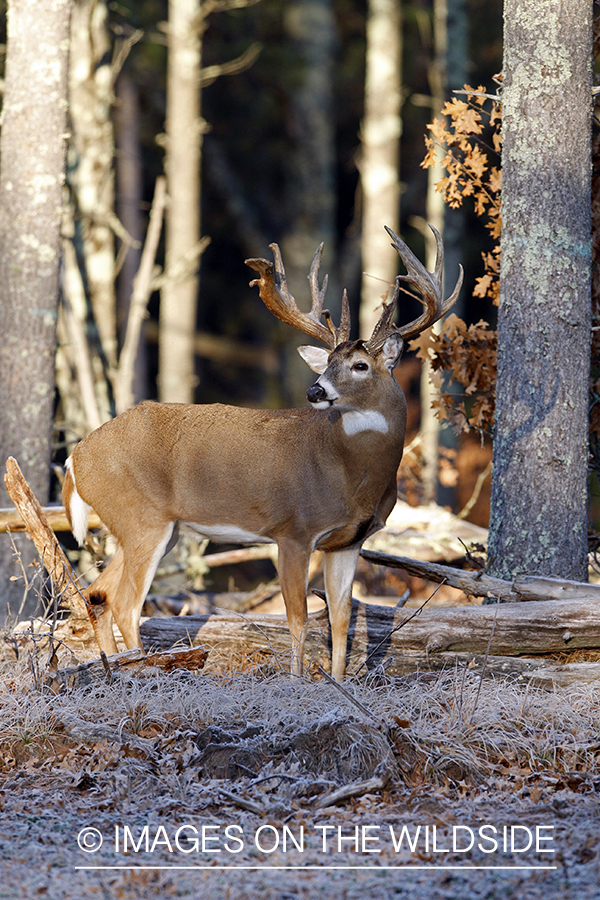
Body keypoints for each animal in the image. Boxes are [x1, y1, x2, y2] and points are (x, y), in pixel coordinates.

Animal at [62, 223, 464, 676]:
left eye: (359, 365)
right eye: (326, 363)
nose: (314, 391)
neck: (352, 476)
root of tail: (76, 457)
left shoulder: (347, 541)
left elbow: (342, 619)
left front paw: (340, 682)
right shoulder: (292, 530)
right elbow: (298, 617)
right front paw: (297, 681)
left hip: (149, 527)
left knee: (98, 593)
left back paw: (115, 667)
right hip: (141, 518)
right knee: (126, 602)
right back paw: (145, 668)